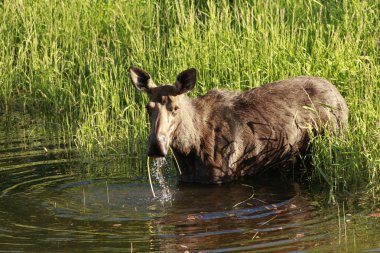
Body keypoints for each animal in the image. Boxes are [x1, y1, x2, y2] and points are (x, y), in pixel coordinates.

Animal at [129, 66, 348, 183]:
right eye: (148, 107)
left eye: (175, 107)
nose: (156, 146)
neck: (189, 148)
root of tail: (340, 95)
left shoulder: (222, 176)